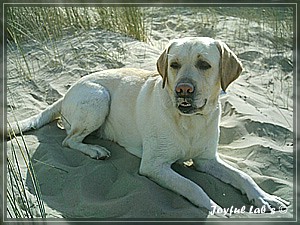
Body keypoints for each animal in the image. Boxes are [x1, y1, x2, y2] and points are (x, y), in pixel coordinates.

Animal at [9, 37, 290, 213]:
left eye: (204, 65)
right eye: (174, 65)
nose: (183, 89)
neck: (190, 122)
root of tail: (67, 92)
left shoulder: (207, 160)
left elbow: (243, 176)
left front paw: (264, 197)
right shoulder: (154, 166)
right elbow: (193, 186)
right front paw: (214, 208)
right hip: (99, 97)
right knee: (69, 140)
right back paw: (95, 150)